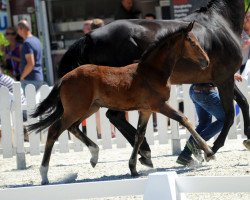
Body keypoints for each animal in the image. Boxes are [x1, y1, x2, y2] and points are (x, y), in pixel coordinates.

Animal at [29, 21, 212, 184]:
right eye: (193, 43)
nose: (207, 61)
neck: (152, 72)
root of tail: (63, 79)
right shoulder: (158, 105)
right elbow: (184, 119)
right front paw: (209, 152)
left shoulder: (145, 110)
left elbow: (139, 135)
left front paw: (134, 168)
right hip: (76, 109)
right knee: (54, 130)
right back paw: (44, 175)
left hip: (89, 108)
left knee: (72, 127)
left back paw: (94, 155)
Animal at [56, 0, 248, 166]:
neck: (221, 22)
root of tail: (89, 37)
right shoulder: (224, 78)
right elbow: (230, 114)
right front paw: (213, 149)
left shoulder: (224, 79)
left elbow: (243, 103)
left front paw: (247, 138)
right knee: (114, 116)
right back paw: (145, 152)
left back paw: (143, 153)